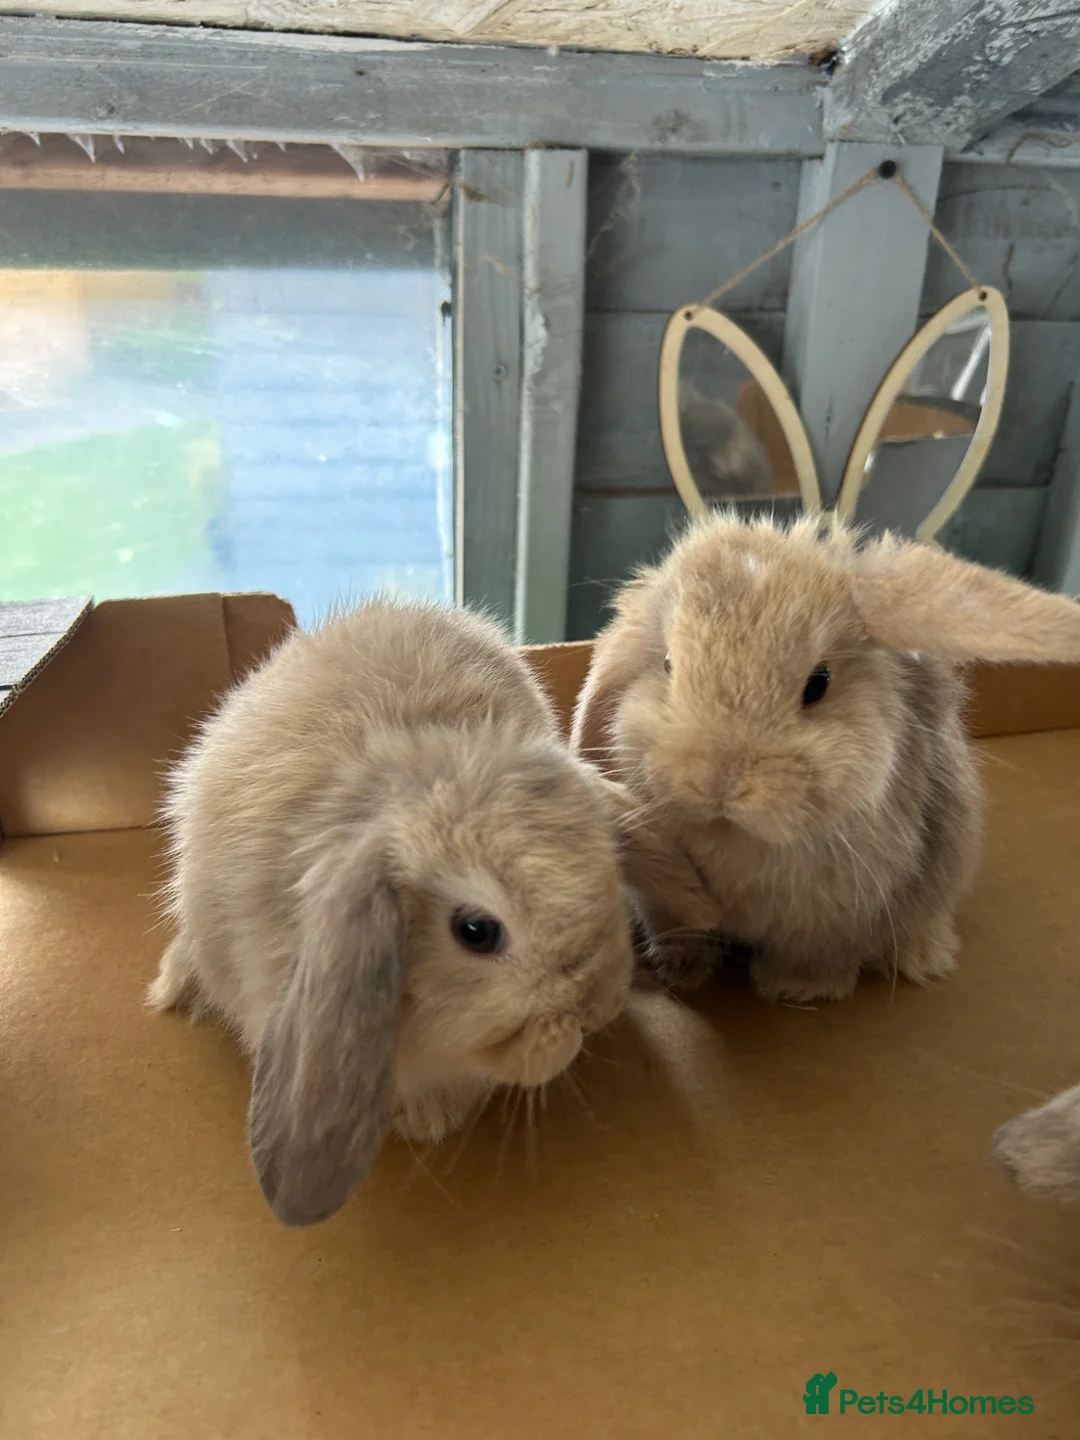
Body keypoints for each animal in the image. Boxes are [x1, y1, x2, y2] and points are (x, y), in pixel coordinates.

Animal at [572, 510, 1080, 1005]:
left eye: (819, 683)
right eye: (667, 664)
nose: (719, 785)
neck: (735, 835)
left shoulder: (834, 920)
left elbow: (816, 957)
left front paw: (792, 988)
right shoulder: (662, 899)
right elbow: (681, 928)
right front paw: (683, 973)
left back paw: (923, 956)